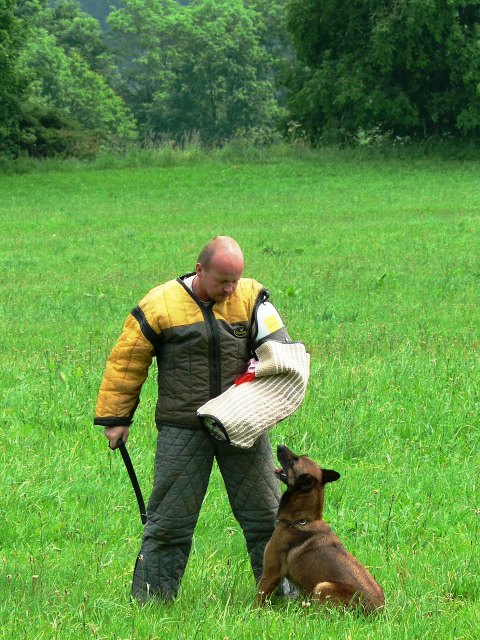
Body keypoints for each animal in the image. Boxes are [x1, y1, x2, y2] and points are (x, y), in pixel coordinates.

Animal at [256, 442, 384, 612]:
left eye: (294, 461)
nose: (280, 445)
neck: (302, 520)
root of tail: (378, 612)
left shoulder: (271, 573)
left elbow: (258, 598)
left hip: (323, 587)